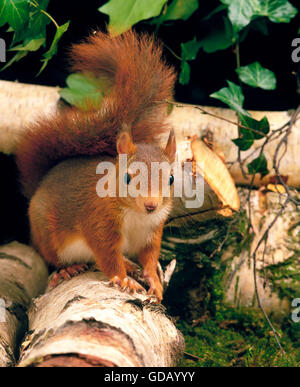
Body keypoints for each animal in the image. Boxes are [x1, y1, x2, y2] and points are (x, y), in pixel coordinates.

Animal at [15, 30, 177, 304]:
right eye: (127, 178)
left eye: (171, 179)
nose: (151, 205)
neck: (136, 215)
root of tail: (42, 181)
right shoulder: (99, 220)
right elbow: (107, 255)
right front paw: (123, 279)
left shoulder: (152, 230)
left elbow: (149, 257)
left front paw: (154, 282)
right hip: (45, 231)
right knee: (52, 257)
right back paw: (68, 268)